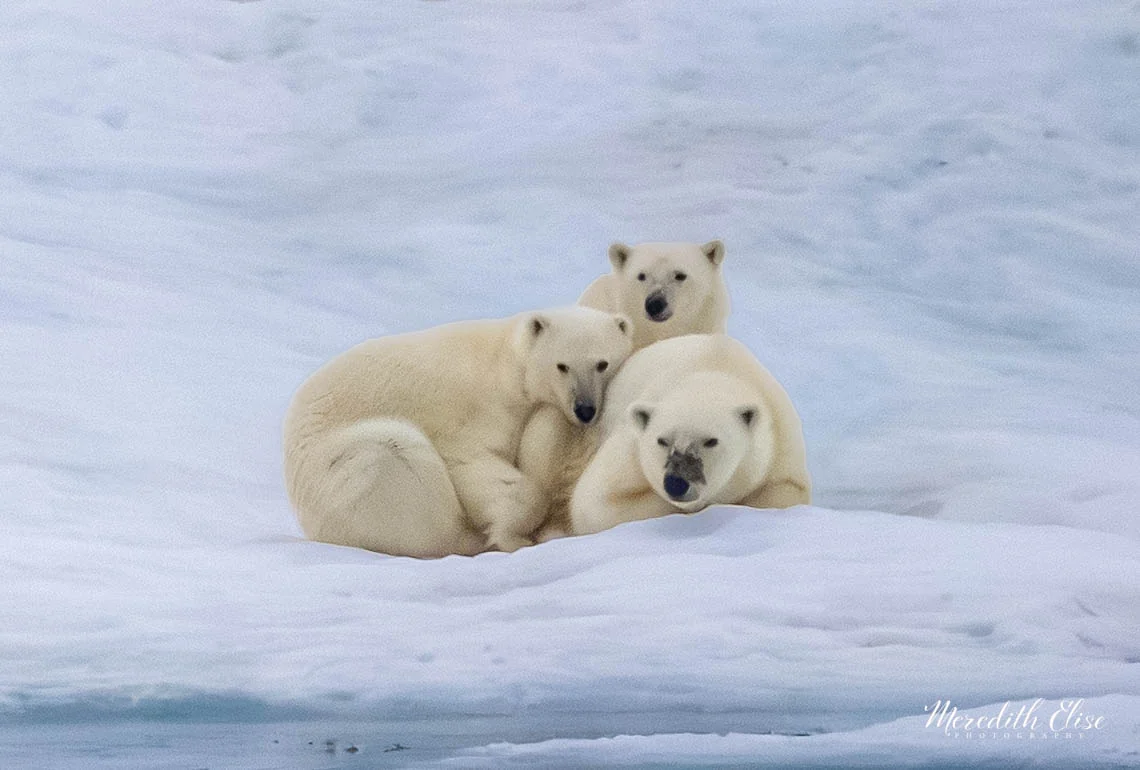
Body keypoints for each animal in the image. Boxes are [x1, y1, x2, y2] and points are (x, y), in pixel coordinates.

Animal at [283, 306, 633, 558]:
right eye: (562, 366)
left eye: (602, 363)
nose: (585, 409)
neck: (504, 362)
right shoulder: (476, 414)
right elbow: (472, 464)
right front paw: (511, 536)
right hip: (338, 471)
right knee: (393, 457)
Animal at [567, 333, 811, 537]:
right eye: (662, 440)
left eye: (711, 441)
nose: (676, 483)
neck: (715, 367)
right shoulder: (631, 447)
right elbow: (593, 501)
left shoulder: (780, 442)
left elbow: (787, 493)